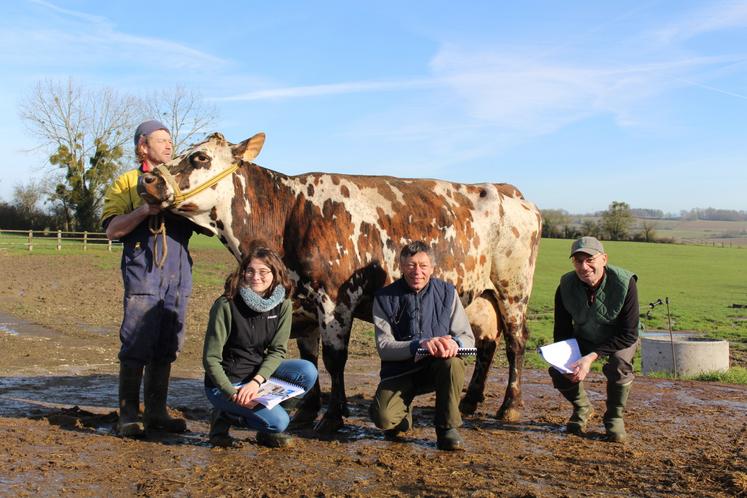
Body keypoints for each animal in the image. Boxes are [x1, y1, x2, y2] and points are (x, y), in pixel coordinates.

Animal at [139, 131, 536, 432]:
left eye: (200, 157)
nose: (148, 179)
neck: (290, 213)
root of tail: (509, 191)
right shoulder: (302, 304)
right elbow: (308, 356)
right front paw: (307, 410)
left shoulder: (334, 299)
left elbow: (333, 359)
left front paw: (332, 417)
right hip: (482, 297)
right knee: (487, 344)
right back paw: (470, 401)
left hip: (513, 290)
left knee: (515, 344)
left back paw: (510, 406)